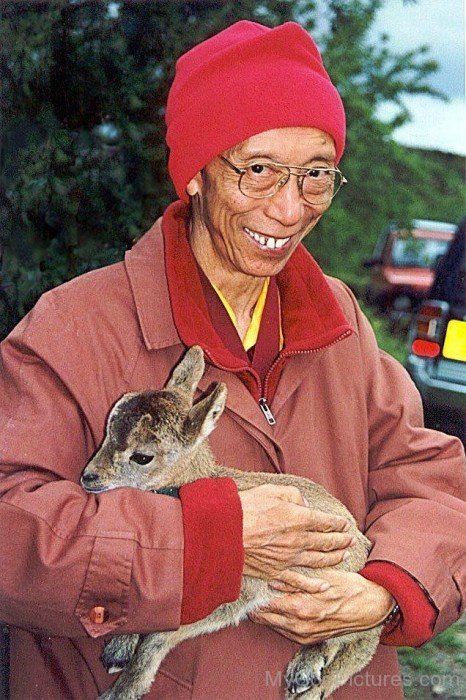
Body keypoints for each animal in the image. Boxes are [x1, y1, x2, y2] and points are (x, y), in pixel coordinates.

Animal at [82, 348, 382, 696]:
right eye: (107, 428)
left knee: (360, 640)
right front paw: (117, 651)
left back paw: (305, 676)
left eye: (142, 457)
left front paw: (121, 690)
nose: (89, 477)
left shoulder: (233, 596)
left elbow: (157, 638)